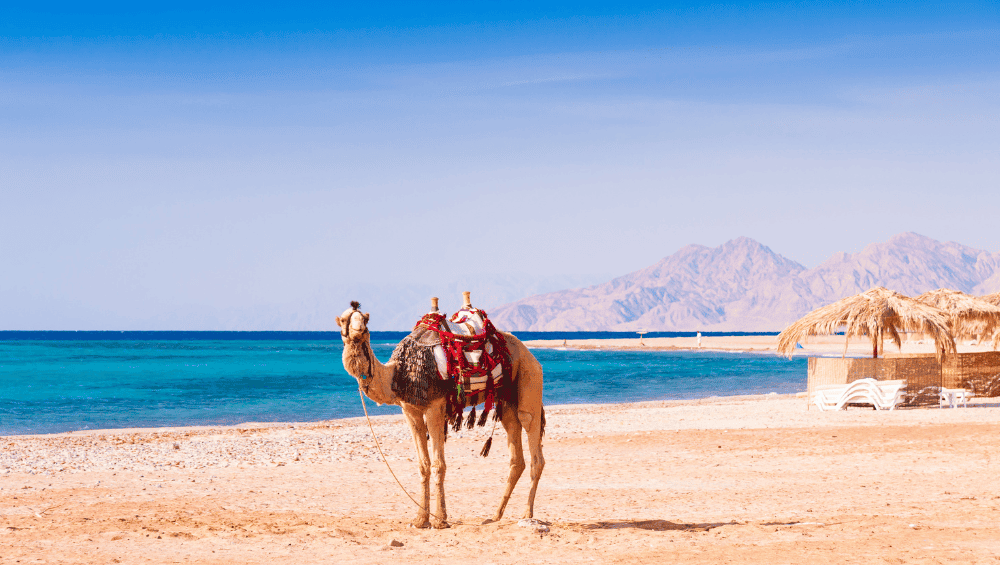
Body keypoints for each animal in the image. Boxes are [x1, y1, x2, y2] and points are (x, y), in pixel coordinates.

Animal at [335, 297, 545, 529]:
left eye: (365, 319)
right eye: (344, 319)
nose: (358, 329)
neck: (398, 373)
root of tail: (528, 352)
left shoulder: (434, 406)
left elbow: (438, 465)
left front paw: (440, 520)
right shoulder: (410, 410)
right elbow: (423, 465)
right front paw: (420, 519)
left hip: (529, 375)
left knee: (532, 438)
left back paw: (527, 514)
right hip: (506, 401)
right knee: (516, 455)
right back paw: (494, 516)